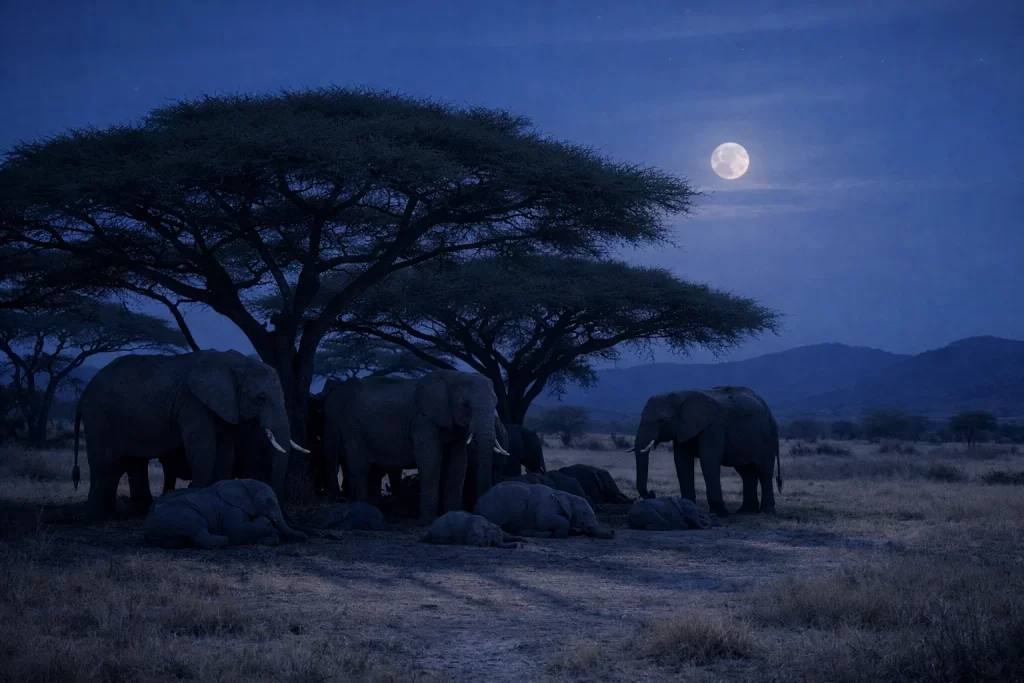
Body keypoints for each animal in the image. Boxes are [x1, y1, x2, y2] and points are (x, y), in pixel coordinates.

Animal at [72, 350, 309, 520]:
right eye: (261, 398)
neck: (236, 362)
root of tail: (82, 395)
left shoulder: (225, 406)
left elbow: (225, 451)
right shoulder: (193, 404)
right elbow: (203, 449)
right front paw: (202, 500)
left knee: (127, 464)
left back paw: (123, 513)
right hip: (99, 416)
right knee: (103, 464)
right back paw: (95, 517)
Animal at [143, 478, 307, 549]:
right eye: (268, 501)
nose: (306, 537)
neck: (244, 483)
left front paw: (268, 540)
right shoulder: (231, 508)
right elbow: (235, 530)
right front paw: (269, 531)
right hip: (182, 515)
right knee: (200, 530)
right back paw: (223, 540)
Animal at [320, 370, 508, 524]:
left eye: (495, 404)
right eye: (466, 406)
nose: (480, 511)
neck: (453, 377)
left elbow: (457, 463)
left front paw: (453, 515)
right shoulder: (423, 421)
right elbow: (430, 460)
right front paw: (427, 522)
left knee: (374, 471)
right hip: (352, 429)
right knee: (361, 469)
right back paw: (364, 508)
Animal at [473, 481, 615, 539]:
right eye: (585, 513)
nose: (612, 534)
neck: (566, 495)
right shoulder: (546, 506)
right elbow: (544, 520)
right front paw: (559, 535)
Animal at [627, 385, 782, 517]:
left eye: (662, 421)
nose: (652, 493)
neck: (680, 395)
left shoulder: (713, 427)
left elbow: (708, 460)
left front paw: (720, 514)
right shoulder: (683, 429)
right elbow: (681, 461)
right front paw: (688, 506)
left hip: (768, 437)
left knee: (764, 471)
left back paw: (766, 512)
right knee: (747, 472)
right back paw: (746, 512)